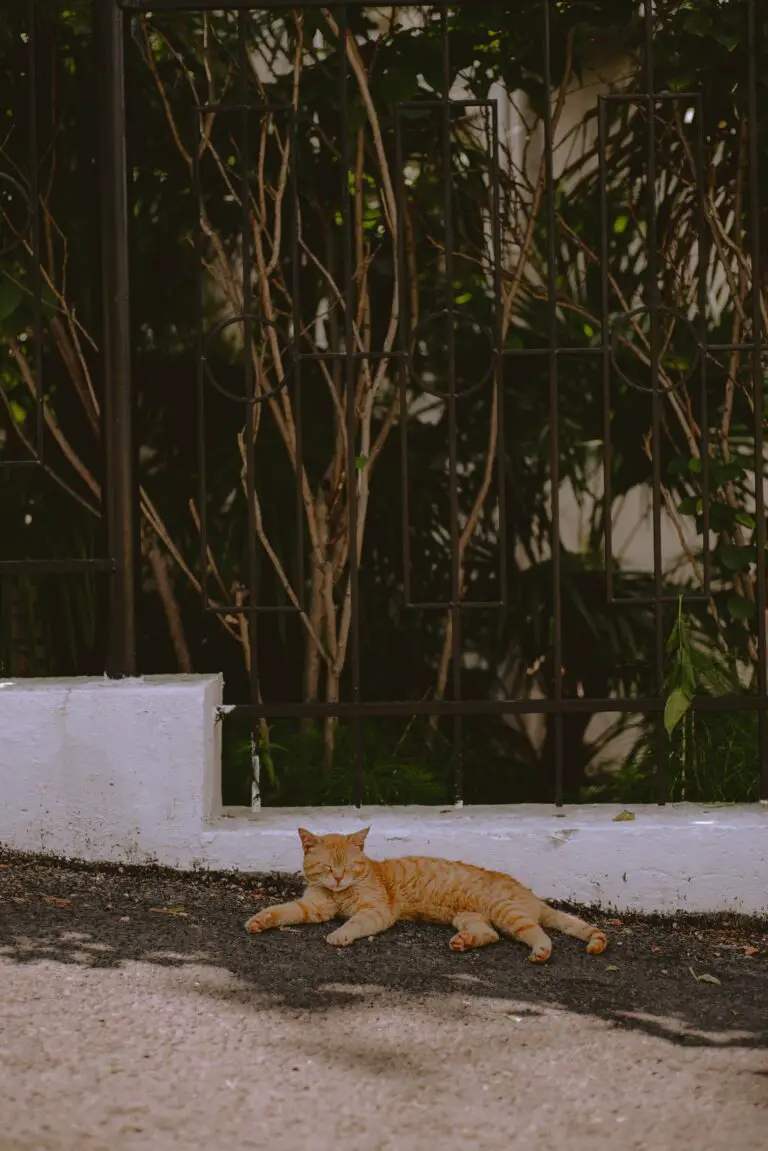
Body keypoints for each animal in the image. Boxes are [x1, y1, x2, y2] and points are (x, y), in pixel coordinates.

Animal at [245, 828, 607, 962]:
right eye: (326, 866)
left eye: (348, 866)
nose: (337, 878)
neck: (339, 893)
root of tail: (531, 895)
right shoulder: (312, 907)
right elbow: (281, 911)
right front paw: (260, 920)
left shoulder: (376, 911)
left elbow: (354, 923)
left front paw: (340, 934)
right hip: (469, 917)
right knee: (489, 934)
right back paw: (464, 942)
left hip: (508, 912)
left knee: (539, 932)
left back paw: (541, 951)